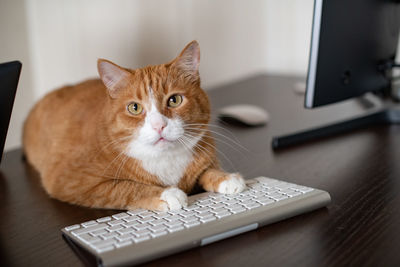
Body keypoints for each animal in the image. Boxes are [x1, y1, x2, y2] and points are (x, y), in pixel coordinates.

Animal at [24, 41, 247, 211]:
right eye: (135, 107)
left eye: (174, 100)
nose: (159, 126)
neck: (165, 159)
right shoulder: (71, 180)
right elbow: (125, 188)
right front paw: (167, 194)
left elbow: (207, 170)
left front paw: (226, 178)